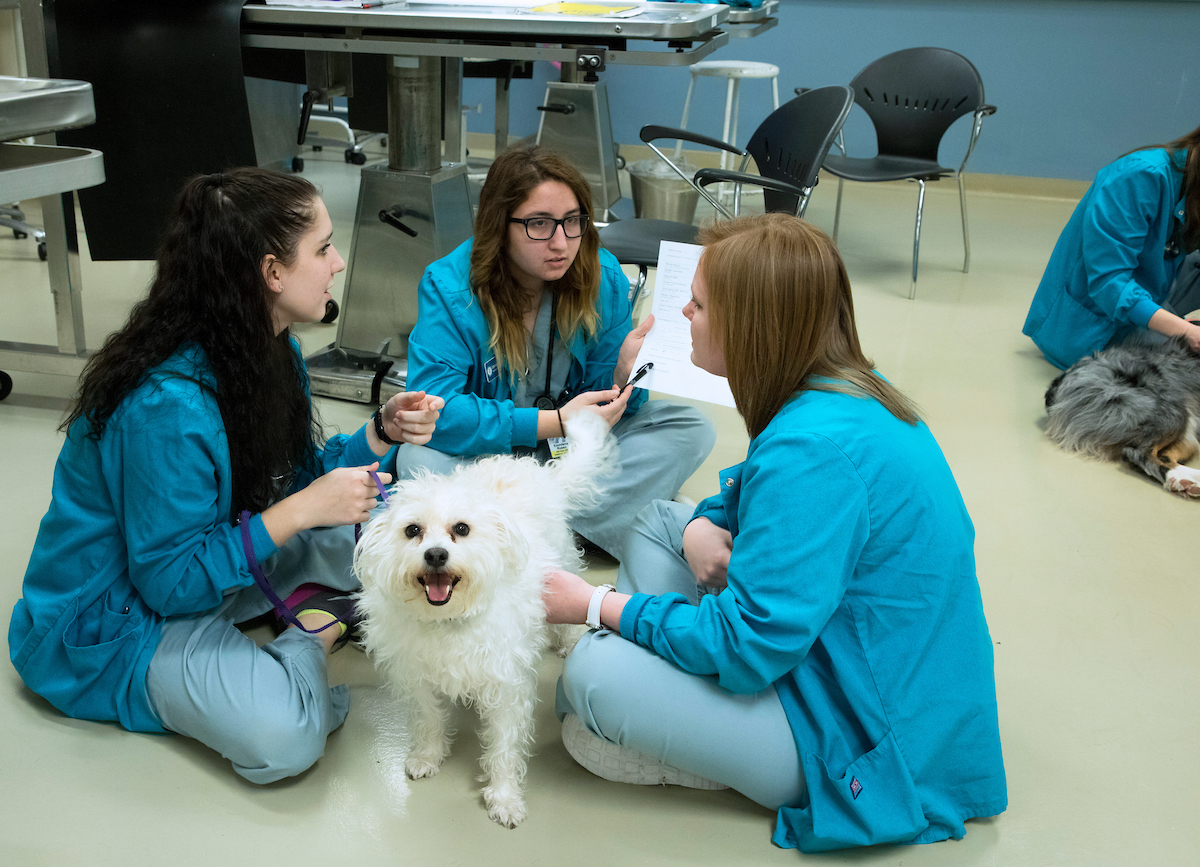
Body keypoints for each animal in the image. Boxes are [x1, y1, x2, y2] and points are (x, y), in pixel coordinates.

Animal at [352, 410, 619, 826]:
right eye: (412, 531)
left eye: (461, 529)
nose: (436, 555)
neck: (448, 620)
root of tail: (537, 472)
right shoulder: (416, 676)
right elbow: (429, 719)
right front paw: (428, 755)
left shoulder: (506, 685)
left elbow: (504, 746)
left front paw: (505, 796)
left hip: (562, 564)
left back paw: (568, 641)